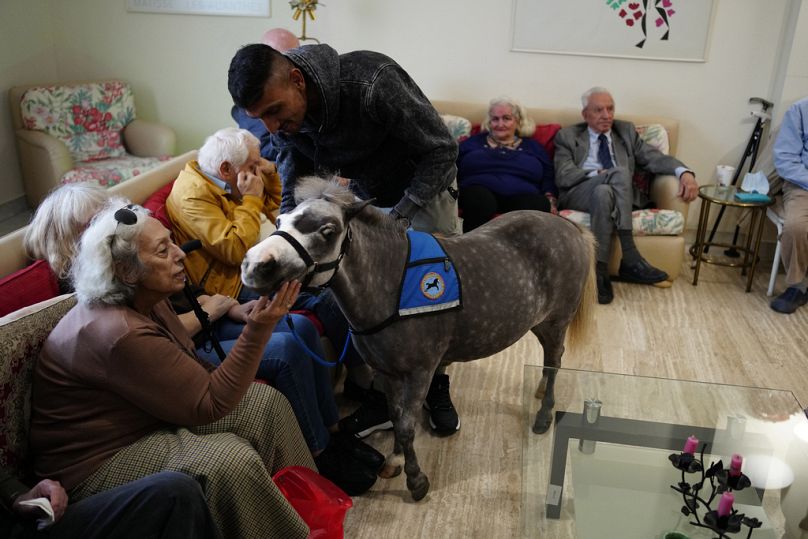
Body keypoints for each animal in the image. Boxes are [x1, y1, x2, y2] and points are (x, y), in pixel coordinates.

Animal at [240, 177, 592, 502]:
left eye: (327, 230)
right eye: (280, 221)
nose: (255, 265)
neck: (391, 286)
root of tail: (568, 226)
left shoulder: (420, 372)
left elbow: (408, 426)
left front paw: (416, 480)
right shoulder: (388, 373)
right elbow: (397, 418)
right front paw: (395, 460)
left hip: (557, 321)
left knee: (554, 361)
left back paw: (544, 414)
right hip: (540, 322)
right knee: (549, 361)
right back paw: (540, 390)